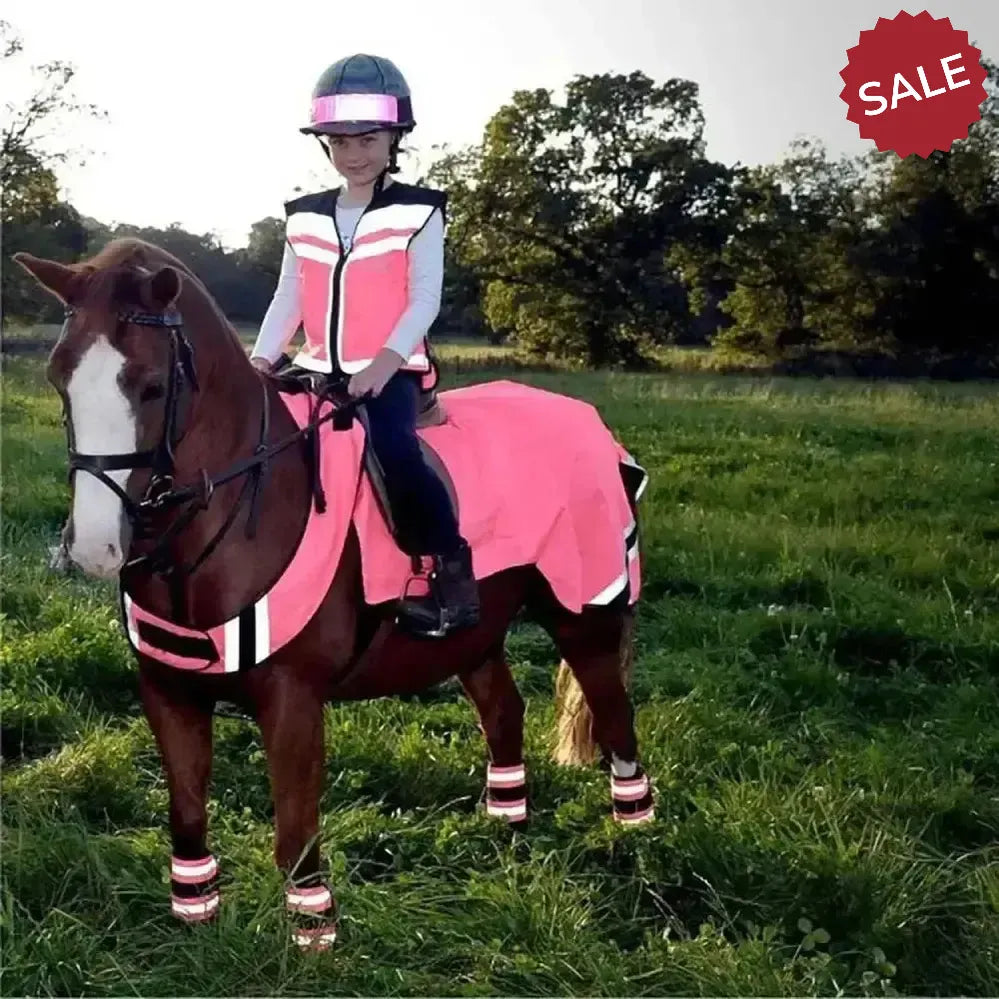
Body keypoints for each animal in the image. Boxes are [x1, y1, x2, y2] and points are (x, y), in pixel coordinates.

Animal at [13, 238, 654, 950]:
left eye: (152, 385)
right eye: (59, 379)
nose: (95, 548)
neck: (230, 513)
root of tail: (596, 428)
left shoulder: (292, 699)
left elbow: (294, 828)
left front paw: (313, 932)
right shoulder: (168, 689)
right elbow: (188, 811)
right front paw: (194, 916)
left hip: (584, 616)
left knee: (615, 717)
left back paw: (632, 836)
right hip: (475, 633)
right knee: (504, 710)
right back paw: (507, 821)